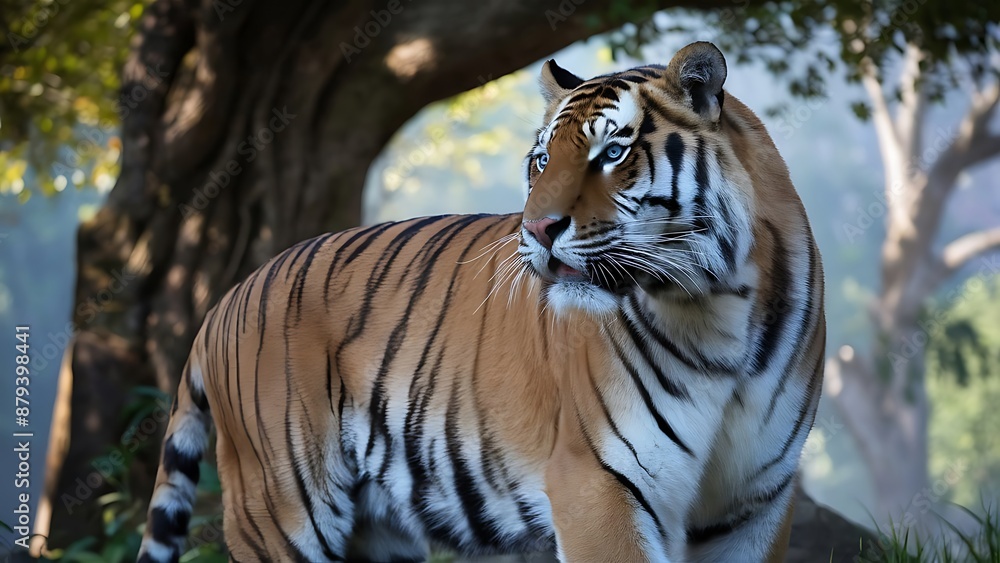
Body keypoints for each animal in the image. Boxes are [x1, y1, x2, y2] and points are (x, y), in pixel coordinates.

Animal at [137, 41, 824, 563]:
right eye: (542, 159)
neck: (721, 306)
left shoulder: (755, 503)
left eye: (613, 152)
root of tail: (225, 300)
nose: (538, 228)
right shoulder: (598, 484)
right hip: (279, 507)